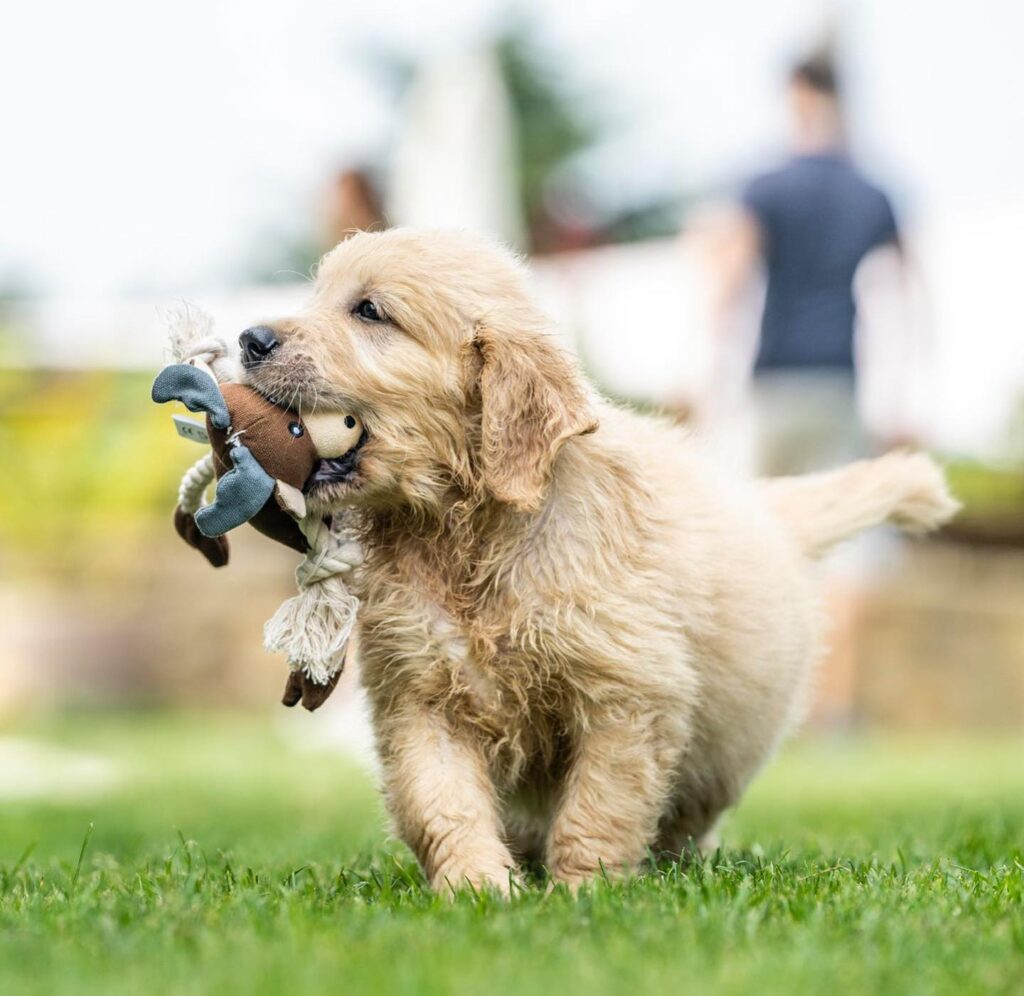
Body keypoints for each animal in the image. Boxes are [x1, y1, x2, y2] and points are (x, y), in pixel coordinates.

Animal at [241, 227, 958, 892]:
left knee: (689, 815)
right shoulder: (420, 694)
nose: (250, 338)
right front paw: (477, 885)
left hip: (726, 748)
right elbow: (442, 799)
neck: (469, 534)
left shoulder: (627, 697)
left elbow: (600, 805)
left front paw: (586, 891)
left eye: (369, 311)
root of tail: (768, 509)